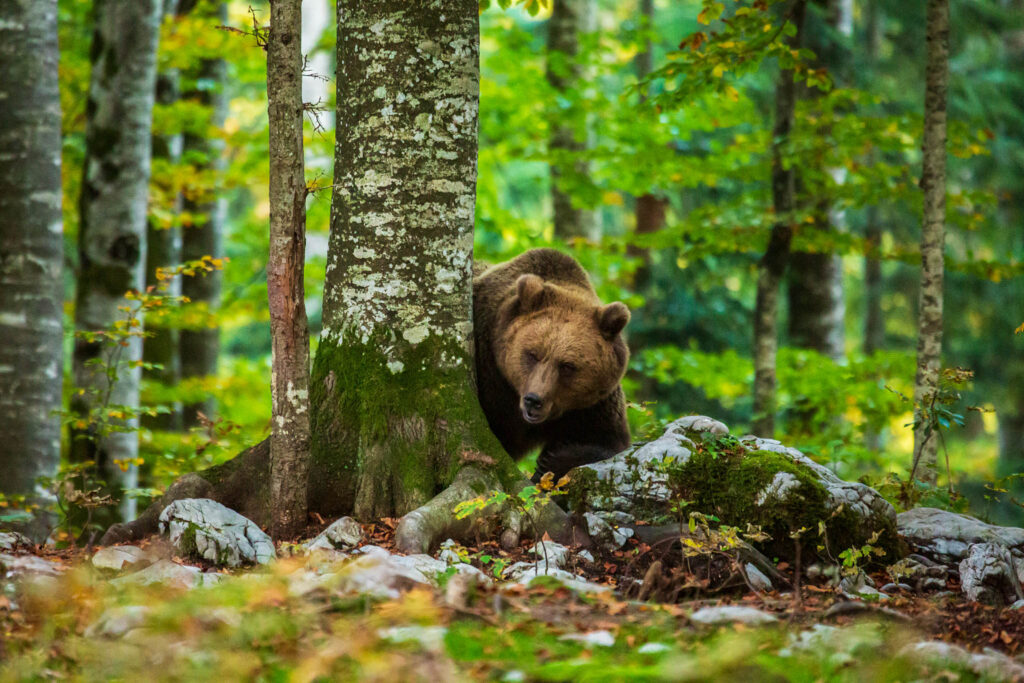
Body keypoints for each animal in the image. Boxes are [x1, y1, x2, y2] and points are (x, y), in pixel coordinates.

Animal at [473, 246, 630, 481]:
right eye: (532, 354)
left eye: (567, 365)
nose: (533, 400)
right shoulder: (488, 373)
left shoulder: (594, 403)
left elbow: (610, 442)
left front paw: (550, 460)